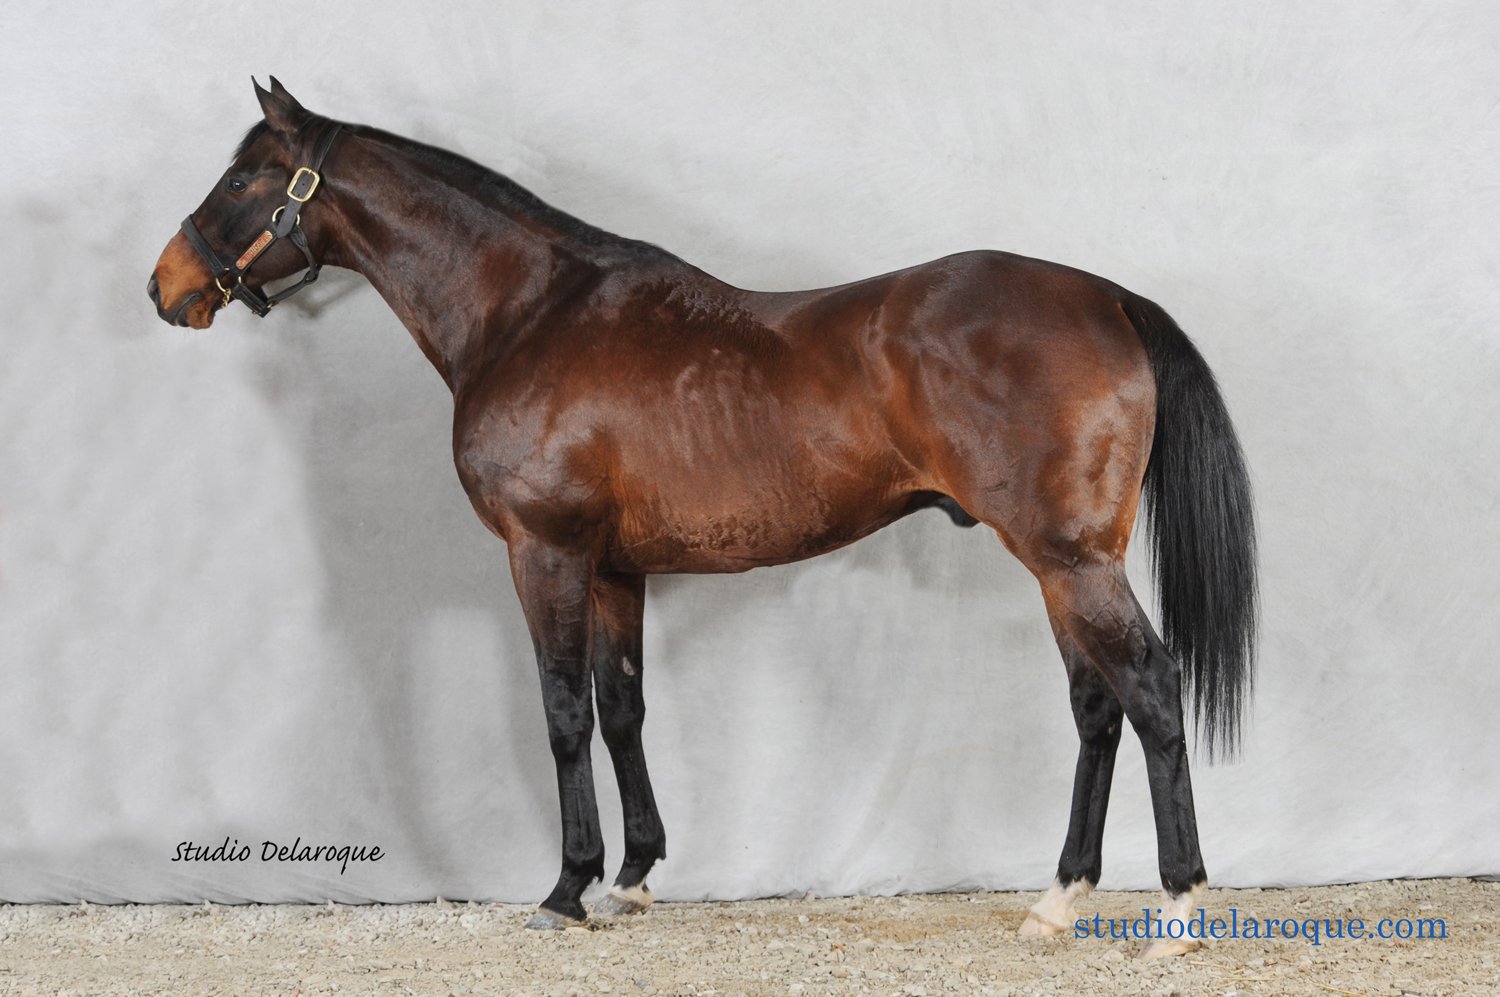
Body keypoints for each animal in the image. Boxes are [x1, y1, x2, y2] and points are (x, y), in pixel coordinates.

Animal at [149, 79, 1256, 956]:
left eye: (246, 177)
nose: (166, 285)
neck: (530, 313)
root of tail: (1107, 298)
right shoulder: (614, 567)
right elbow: (624, 707)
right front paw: (635, 876)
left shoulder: (545, 553)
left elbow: (563, 712)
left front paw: (566, 888)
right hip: (1066, 564)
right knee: (1097, 705)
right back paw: (1057, 900)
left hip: (1069, 559)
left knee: (1150, 689)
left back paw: (1178, 911)